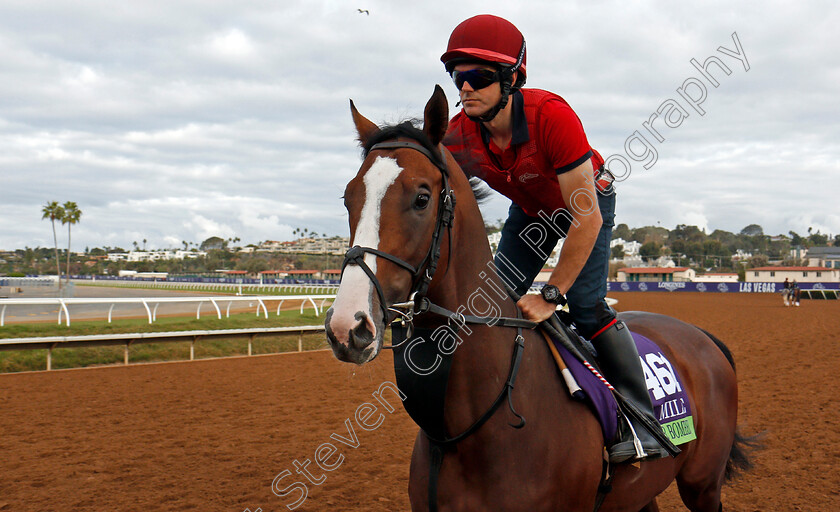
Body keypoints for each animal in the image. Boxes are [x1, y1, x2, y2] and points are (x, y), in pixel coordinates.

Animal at [324, 86, 756, 510]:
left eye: (422, 198)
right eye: (347, 198)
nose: (348, 326)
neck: (471, 428)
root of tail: (701, 335)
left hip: (702, 484)